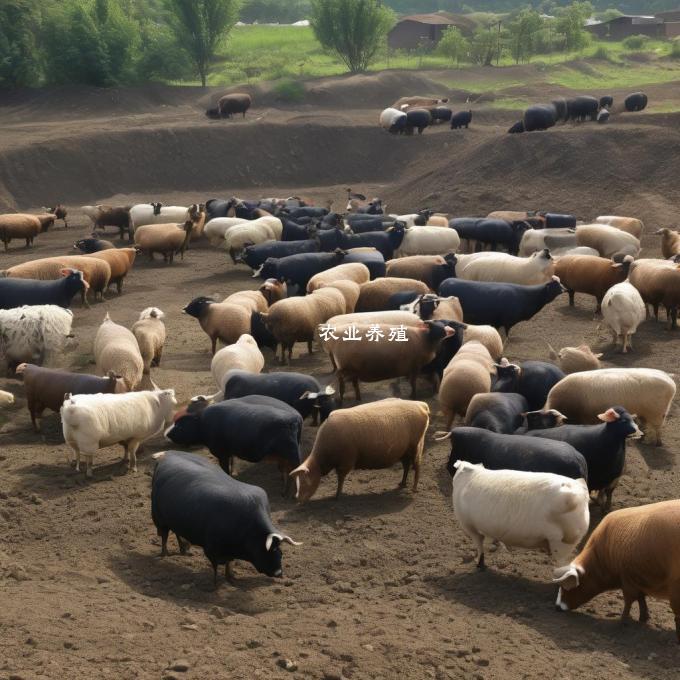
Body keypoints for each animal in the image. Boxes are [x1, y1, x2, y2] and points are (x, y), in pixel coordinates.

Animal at [288, 396, 430, 502]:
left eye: (304, 482)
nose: (297, 499)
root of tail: (421, 405)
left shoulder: (346, 461)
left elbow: (340, 479)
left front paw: (337, 496)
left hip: (416, 446)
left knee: (417, 467)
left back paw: (414, 488)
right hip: (404, 451)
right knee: (406, 466)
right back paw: (402, 483)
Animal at [544, 366, 676, 446]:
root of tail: (669, 380)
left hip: (658, 412)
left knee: (657, 428)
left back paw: (658, 443)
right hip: (645, 412)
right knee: (645, 424)